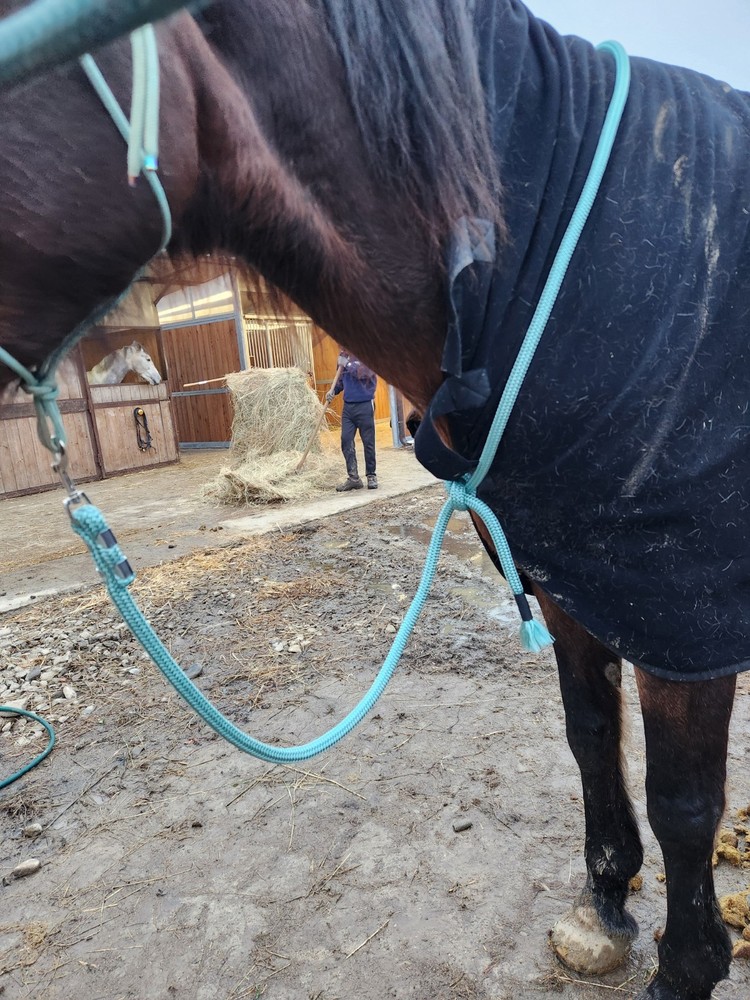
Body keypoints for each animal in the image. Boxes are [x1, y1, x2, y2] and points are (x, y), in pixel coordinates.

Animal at [0, 2, 748, 997]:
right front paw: (604, 904)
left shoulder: (685, 619)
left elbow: (685, 804)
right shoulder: (568, 583)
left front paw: (688, 966)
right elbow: (590, 734)